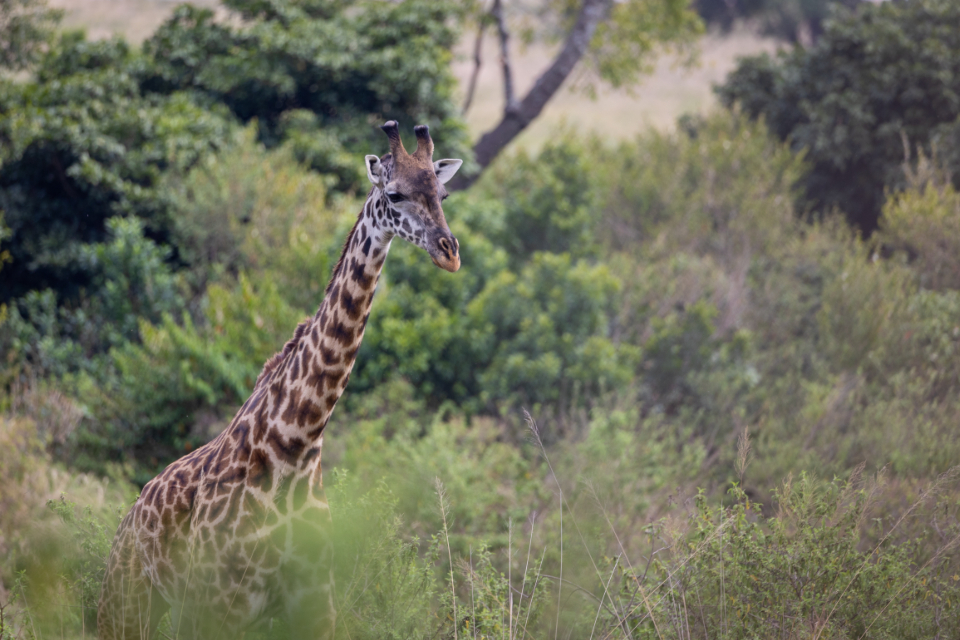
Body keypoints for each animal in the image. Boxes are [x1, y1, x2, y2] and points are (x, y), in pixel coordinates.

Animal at [97, 121, 463, 639]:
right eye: (393, 193)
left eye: (442, 193)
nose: (449, 254)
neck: (295, 442)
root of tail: (127, 522)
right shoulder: (219, 605)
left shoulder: (314, 605)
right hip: (129, 604)